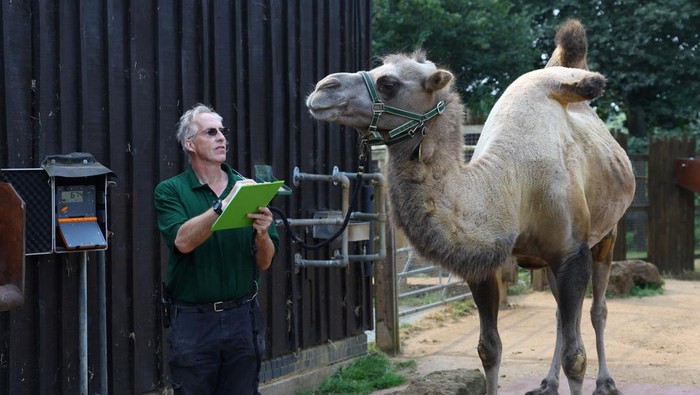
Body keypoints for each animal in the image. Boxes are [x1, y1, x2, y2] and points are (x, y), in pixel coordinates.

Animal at [306, 19, 636, 395]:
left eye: (388, 83)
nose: (322, 88)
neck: (514, 183)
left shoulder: (571, 253)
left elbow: (575, 357)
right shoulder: (484, 264)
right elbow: (489, 349)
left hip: (605, 236)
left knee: (598, 310)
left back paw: (606, 382)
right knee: (558, 315)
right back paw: (547, 383)